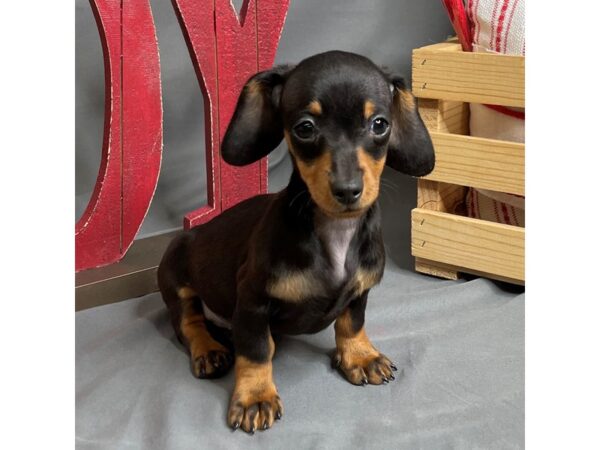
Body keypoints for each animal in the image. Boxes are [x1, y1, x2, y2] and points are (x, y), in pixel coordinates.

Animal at [157, 51, 434, 434]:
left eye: (379, 124)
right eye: (305, 128)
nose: (348, 190)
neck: (334, 231)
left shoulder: (361, 291)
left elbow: (352, 322)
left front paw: (360, 356)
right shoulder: (252, 301)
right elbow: (257, 350)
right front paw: (255, 396)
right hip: (175, 270)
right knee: (188, 321)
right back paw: (208, 349)